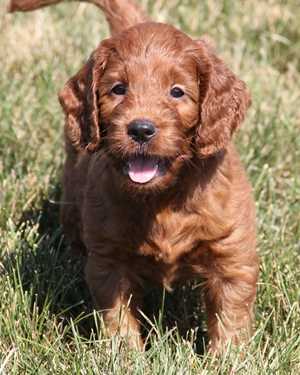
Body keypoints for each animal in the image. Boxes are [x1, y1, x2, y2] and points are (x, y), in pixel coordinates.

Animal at [8, 0, 258, 352]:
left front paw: (228, 358)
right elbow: (118, 318)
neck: (163, 197)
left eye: (177, 92)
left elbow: (230, 318)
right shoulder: (109, 261)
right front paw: (124, 356)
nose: (140, 129)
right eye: (118, 89)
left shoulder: (232, 255)